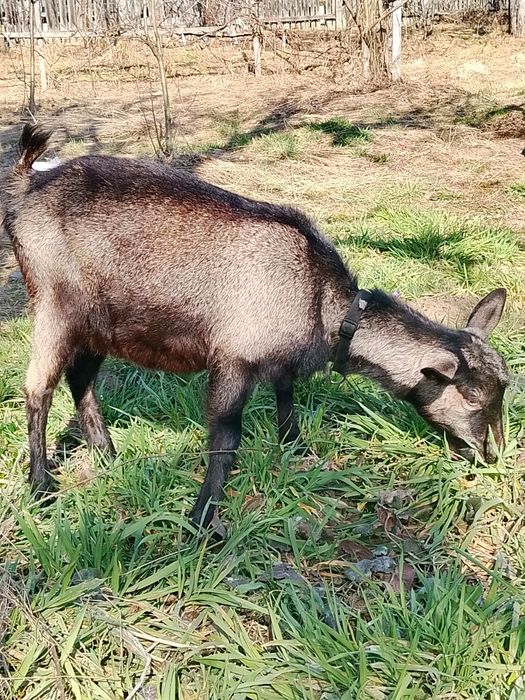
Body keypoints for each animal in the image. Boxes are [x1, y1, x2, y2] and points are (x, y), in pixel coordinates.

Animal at [2, 124, 509, 530]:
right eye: (473, 397)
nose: (493, 455)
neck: (321, 299)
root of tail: (30, 182)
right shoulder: (232, 358)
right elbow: (226, 440)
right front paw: (203, 517)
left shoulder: (280, 360)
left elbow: (287, 397)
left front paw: (294, 448)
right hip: (53, 301)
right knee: (38, 387)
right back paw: (42, 485)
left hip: (100, 321)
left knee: (81, 379)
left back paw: (107, 454)